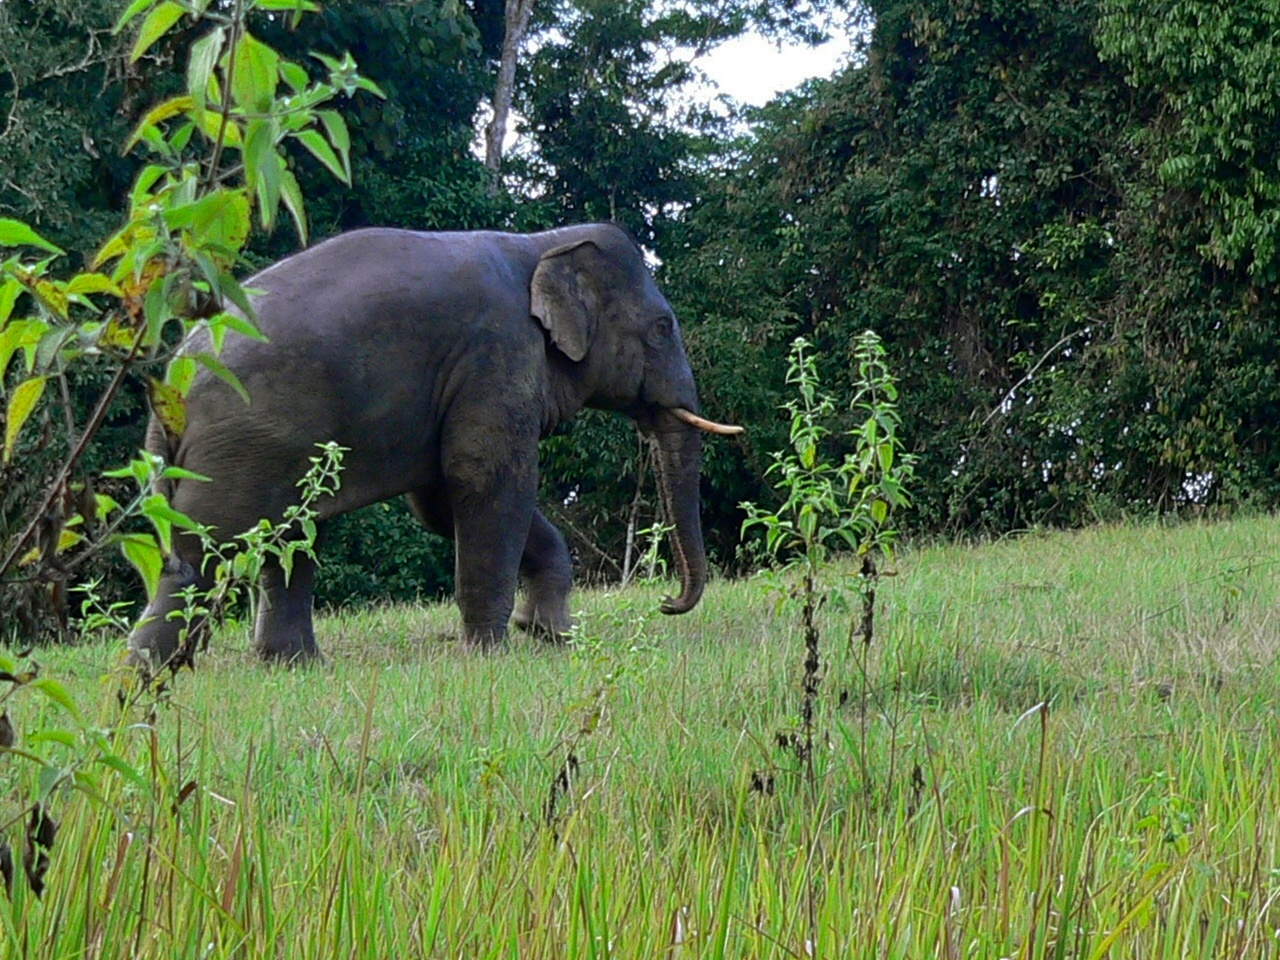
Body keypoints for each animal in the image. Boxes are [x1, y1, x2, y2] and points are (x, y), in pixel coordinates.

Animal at [128, 223, 741, 667]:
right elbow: (486, 481)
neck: (540, 243)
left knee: (290, 537)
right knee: (202, 553)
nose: (667, 603)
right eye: (662, 327)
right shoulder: (496, 355)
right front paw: (491, 655)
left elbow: (442, 502)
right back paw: (149, 675)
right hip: (241, 448)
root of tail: (169, 383)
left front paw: (548, 633)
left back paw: (293, 666)